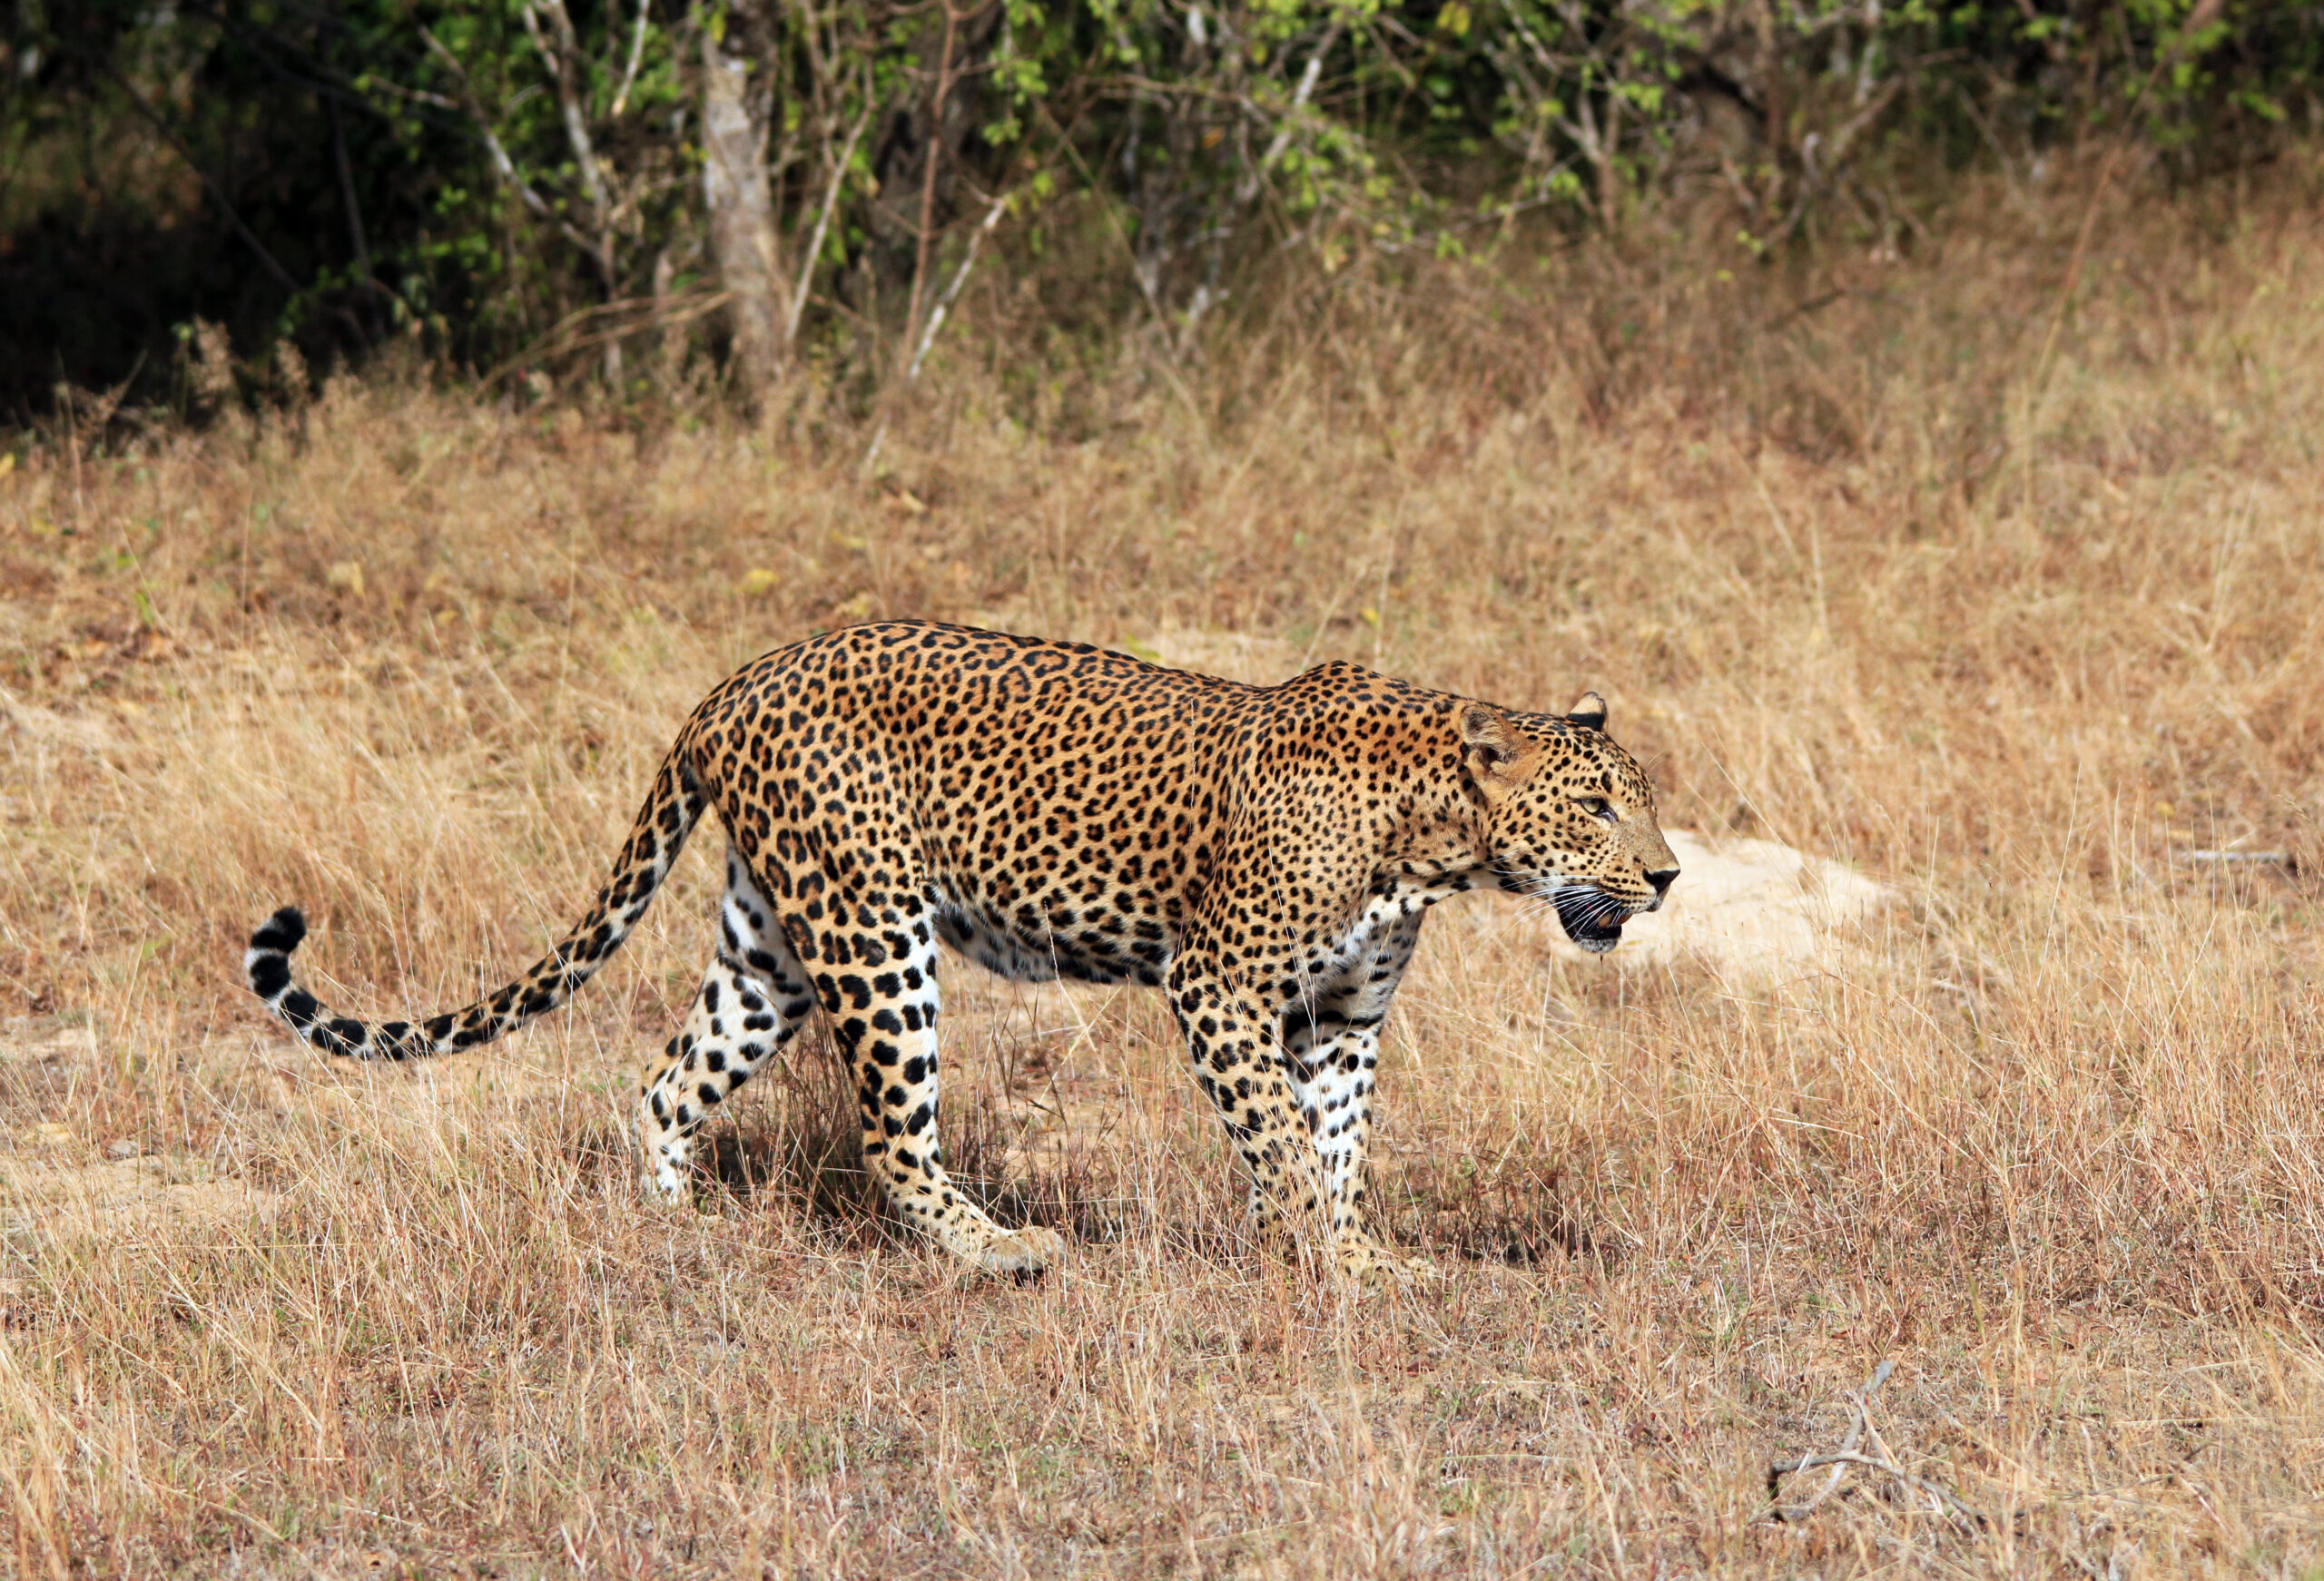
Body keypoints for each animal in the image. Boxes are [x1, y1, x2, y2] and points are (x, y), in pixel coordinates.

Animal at [245, 618, 1682, 1283]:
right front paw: (1326, 1260)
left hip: (772, 944)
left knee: (666, 1079)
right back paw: (1000, 1250)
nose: (1668, 876)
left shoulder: (1339, 1017)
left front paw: (1356, 1257)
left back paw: (672, 1232)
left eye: (1641, 800)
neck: (1432, 841)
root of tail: (732, 682)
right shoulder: (1216, 987)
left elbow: (1335, 1146)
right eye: (1600, 804)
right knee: (892, 1134)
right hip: (879, 935)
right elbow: (1280, 1137)